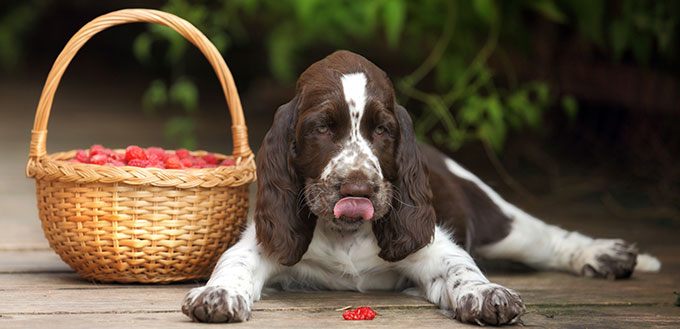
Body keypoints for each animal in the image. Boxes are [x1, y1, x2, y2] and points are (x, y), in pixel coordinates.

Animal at [181, 50, 660, 324]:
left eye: (382, 130)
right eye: (322, 128)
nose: (359, 188)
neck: (346, 236)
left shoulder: (428, 244)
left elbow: (459, 266)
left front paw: (487, 295)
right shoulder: (265, 240)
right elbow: (235, 262)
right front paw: (218, 294)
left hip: (496, 218)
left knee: (549, 237)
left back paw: (606, 254)